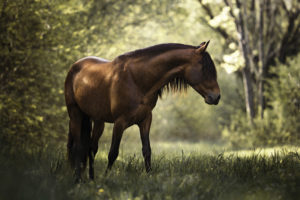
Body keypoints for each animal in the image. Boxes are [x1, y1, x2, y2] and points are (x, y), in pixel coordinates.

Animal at [65, 40, 220, 181]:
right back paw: (78, 179)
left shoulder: (145, 120)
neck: (136, 80)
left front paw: (149, 176)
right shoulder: (120, 122)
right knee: (77, 147)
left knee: (92, 148)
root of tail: (75, 66)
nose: (216, 97)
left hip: (97, 120)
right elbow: (113, 152)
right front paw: (106, 177)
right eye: (205, 68)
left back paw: (91, 179)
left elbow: (147, 150)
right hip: (75, 115)